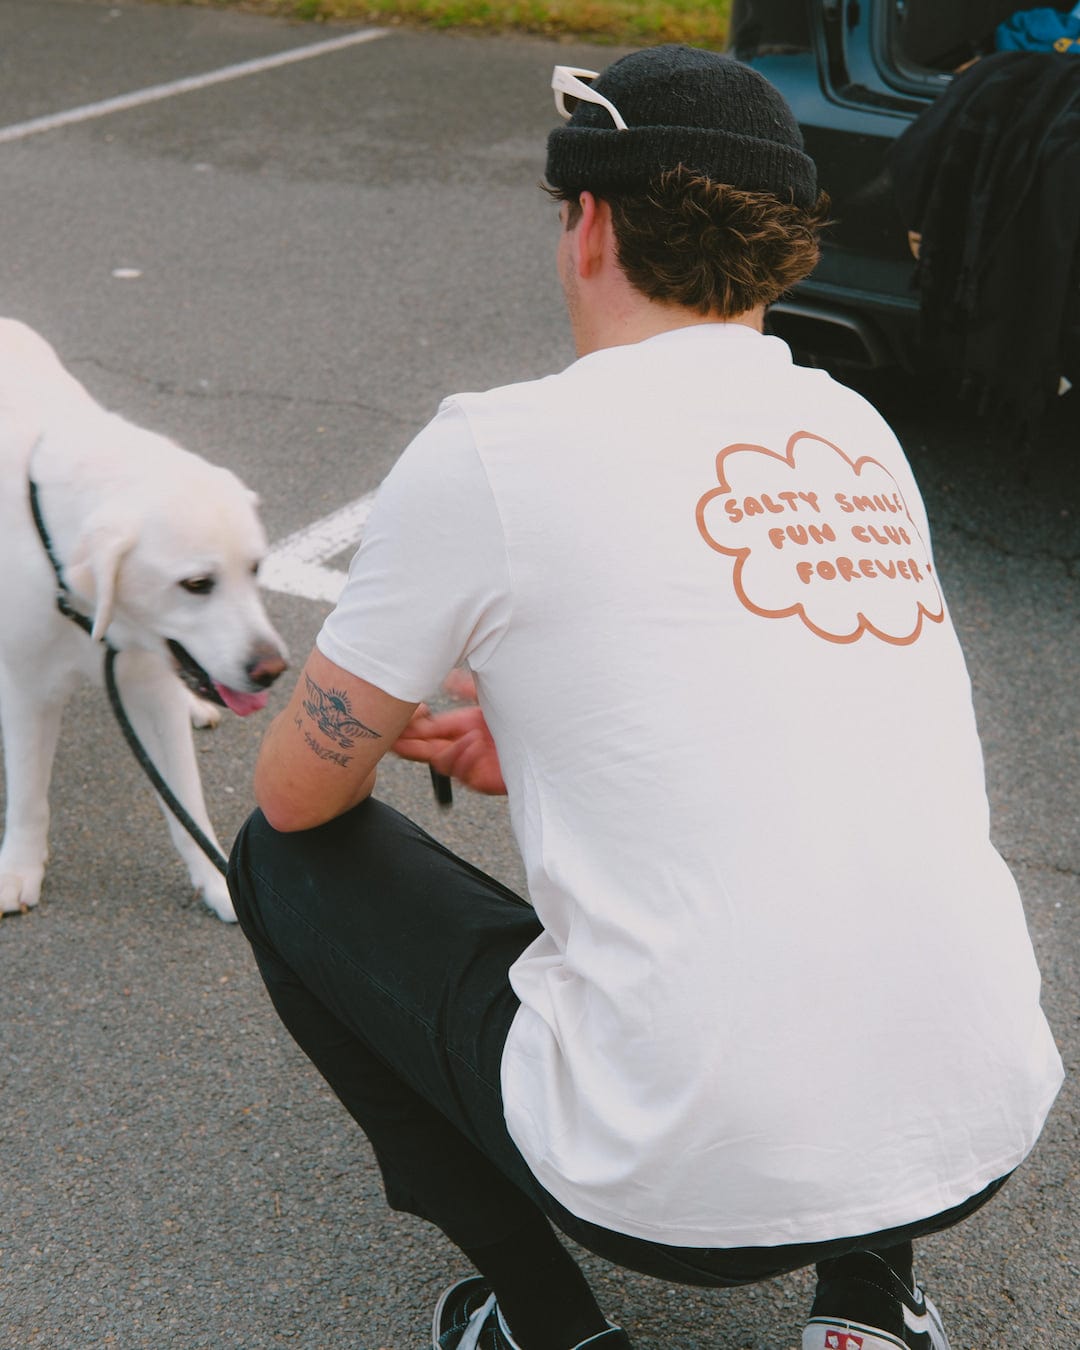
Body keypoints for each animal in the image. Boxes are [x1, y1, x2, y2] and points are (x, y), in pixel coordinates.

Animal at [0, 321, 288, 923]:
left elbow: (186, 805)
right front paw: (19, 869)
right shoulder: (27, 688)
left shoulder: (148, 687)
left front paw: (217, 879)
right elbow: (29, 794)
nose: (272, 670)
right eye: (197, 584)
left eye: (256, 569)